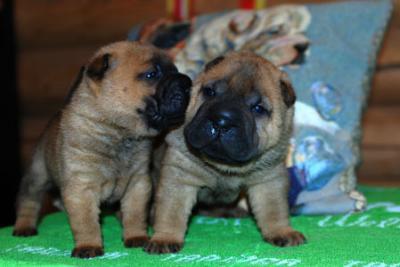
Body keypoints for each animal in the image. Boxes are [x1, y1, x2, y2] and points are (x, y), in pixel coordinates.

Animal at [12, 40, 192, 258]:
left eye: (175, 70)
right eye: (151, 74)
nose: (187, 83)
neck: (118, 131)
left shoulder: (138, 184)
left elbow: (135, 214)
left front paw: (136, 236)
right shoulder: (82, 187)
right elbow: (86, 222)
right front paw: (88, 246)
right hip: (38, 174)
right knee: (29, 200)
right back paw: (24, 227)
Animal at [145, 51, 304, 254]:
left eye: (257, 108)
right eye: (210, 92)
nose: (222, 121)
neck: (224, 166)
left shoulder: (268, 179)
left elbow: (274, 209)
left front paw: (282, 232)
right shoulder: (180, 176)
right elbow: (171, 212)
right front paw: (164, 238)